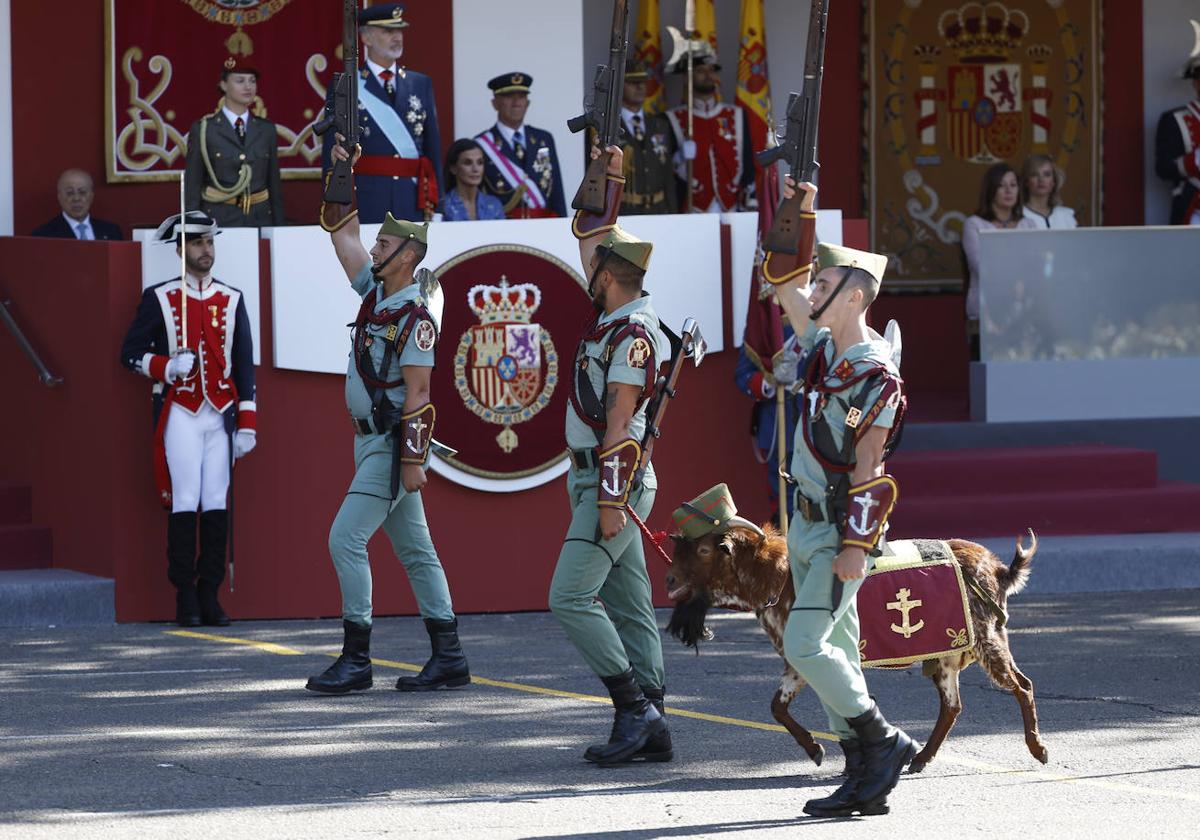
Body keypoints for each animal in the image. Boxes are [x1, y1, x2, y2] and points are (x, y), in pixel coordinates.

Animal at [667, 528, 1051, 772]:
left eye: (703, 551)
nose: (670, 580)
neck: (776, 577)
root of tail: (998, 569)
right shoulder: (798, 662)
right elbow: (778, 707)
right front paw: (817, 751)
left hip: (986, 638)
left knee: (1022, 685)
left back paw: (1038, 749)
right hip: (947, 655)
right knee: (952, 706)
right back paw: (921, 759)